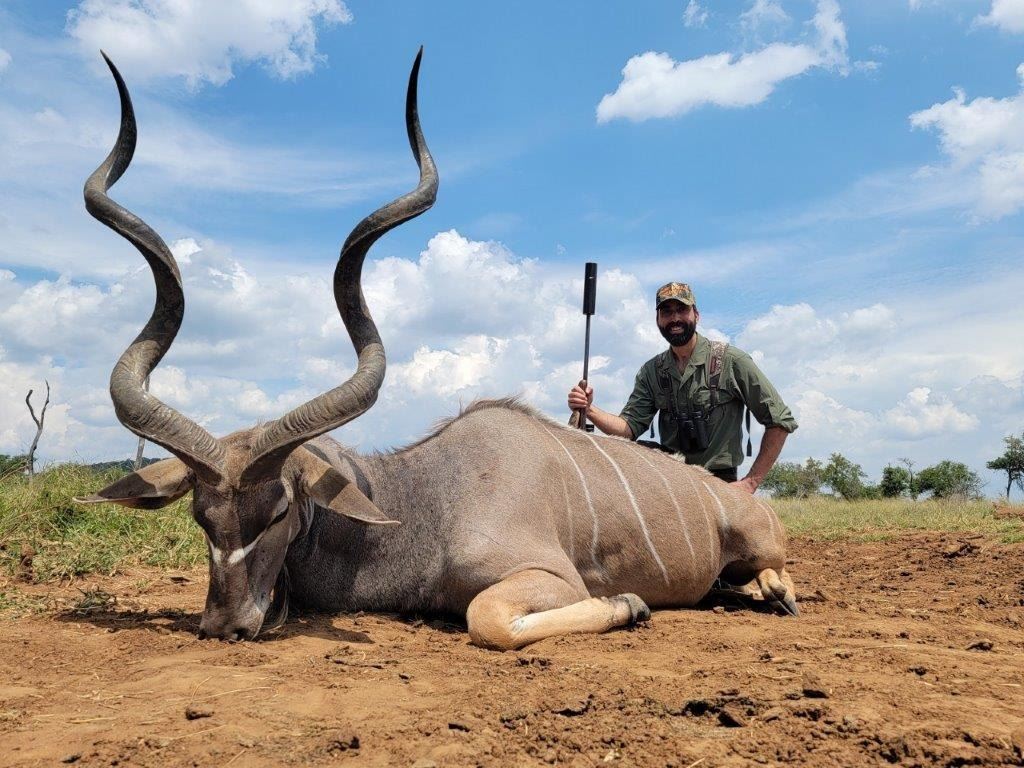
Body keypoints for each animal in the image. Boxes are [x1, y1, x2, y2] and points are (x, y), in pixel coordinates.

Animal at [77, 52, 798, 650]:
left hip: (758, 539)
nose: (225, 625)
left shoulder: (546, 576)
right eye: (202, 516)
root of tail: (742, 497)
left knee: (776, 567)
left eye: (279, 509)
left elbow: (489, 619)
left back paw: (774, 590)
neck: (424, 503)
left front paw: (631, 604)